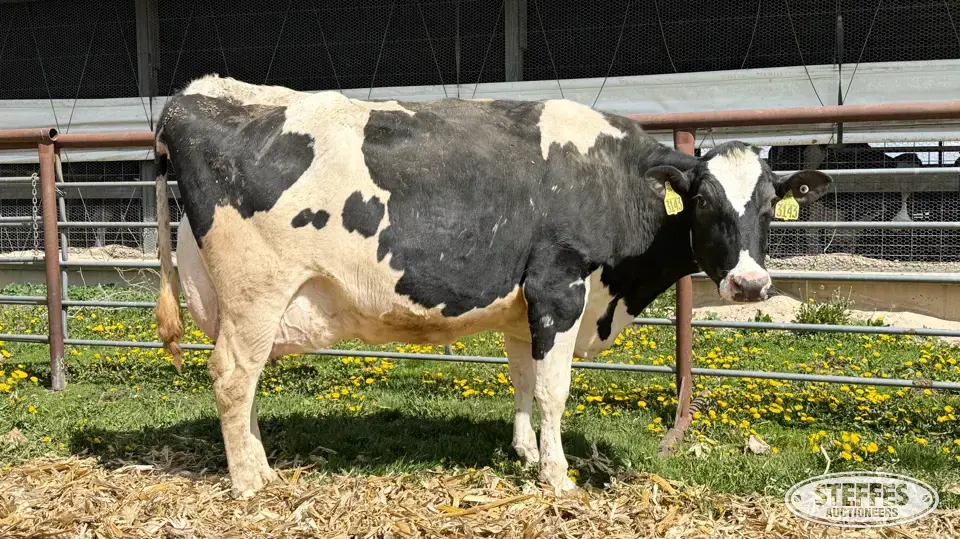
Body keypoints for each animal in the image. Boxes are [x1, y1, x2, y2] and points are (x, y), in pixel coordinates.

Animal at [154, 75, 832, 497]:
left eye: (769, 208)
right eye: (705, 205)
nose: (749, 283)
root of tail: (198, 94)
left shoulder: (522, 306)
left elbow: (525, 379)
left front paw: (526, 453)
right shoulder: (559, 287)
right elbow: (555, 389)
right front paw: (558, 476)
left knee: (246, 384)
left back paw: (260, 463)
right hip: (257, 291)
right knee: (232, 376)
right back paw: (248, 482)